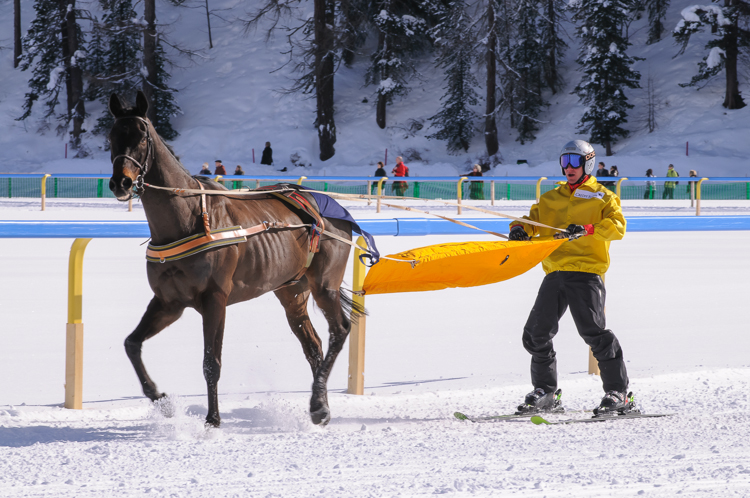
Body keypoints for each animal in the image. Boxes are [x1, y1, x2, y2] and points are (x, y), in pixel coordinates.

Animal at [107, 91, 356, 426]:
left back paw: (318, 404)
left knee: (339, 330)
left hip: (324, 285)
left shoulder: (215, 299)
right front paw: (160, 398)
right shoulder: (169, 302)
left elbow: (211, 362)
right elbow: (132, 344)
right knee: (313, 345)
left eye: (142, 136)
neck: (188, 219)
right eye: (112, 136)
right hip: (292, 291)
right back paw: (321, 406)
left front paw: (213, 419)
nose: (119, 182)